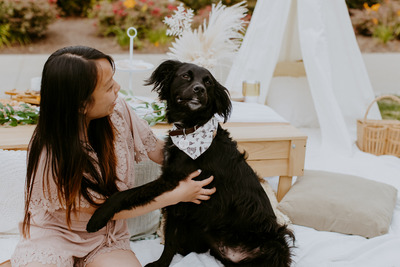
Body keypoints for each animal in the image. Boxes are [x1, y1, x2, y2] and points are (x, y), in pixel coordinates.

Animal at [87, 59, 294, 266]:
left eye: (208, 82)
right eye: (186, 75)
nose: (199, 89)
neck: (191, 129)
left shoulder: (171, 180)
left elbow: (125, 194)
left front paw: (98, 217)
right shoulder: (179, 198)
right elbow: (170, 237)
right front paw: (161, 262)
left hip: (277, 244)